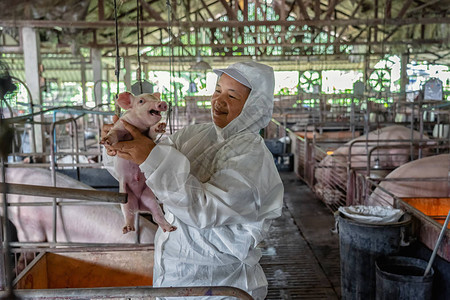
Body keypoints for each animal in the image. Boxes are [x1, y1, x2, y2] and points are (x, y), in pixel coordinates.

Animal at [101, 91, 177, 234]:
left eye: (154, 98)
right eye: (141, 101)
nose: (162, 103)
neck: (139, 127)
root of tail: (139, 206)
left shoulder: (148, 135)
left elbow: (152, 133)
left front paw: (160, 126)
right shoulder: (121, 126)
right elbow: (114, 134)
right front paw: (106, 142)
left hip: (150, 197)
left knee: (157, 215)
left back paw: (170, 228)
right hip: (125, 195)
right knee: (128, 213)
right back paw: (127, 229)